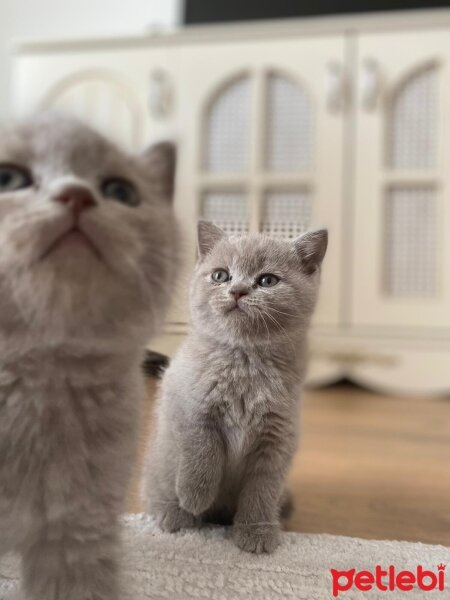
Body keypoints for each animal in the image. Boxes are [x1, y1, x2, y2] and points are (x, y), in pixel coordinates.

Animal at [146, 219, 326, 552]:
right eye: (220, 275)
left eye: (267, 280)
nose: (238, 290)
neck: (245, 362)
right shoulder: (191, 409)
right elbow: (202, 453)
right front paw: (194, 497)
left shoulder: (277, 437)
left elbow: (261, 490)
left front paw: (256, 531)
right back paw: (174, 513)